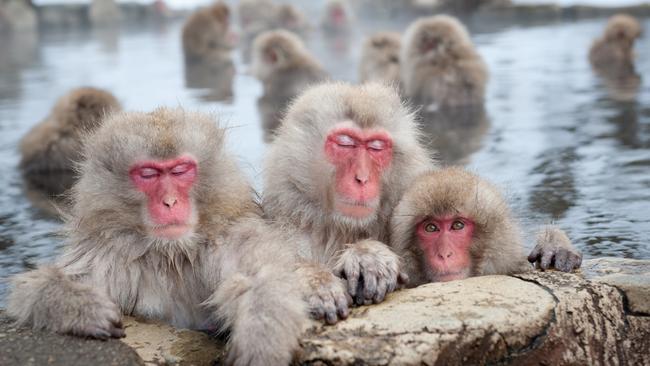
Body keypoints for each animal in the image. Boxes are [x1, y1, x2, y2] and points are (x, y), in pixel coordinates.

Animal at [7, 107, 308, 364]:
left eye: (180, 170)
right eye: (149, 174)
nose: (170, 202)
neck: (171, 252)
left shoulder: (230, 240)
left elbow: (262, 277)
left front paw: (261, 338)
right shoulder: (107, 254)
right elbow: (32, 289)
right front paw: (82, 308)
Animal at [260, 82, 432, 324]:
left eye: (376, 147)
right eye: (345, 143)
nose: (362, 178)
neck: (341, 228)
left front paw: (368, 256)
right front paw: (315, 281)